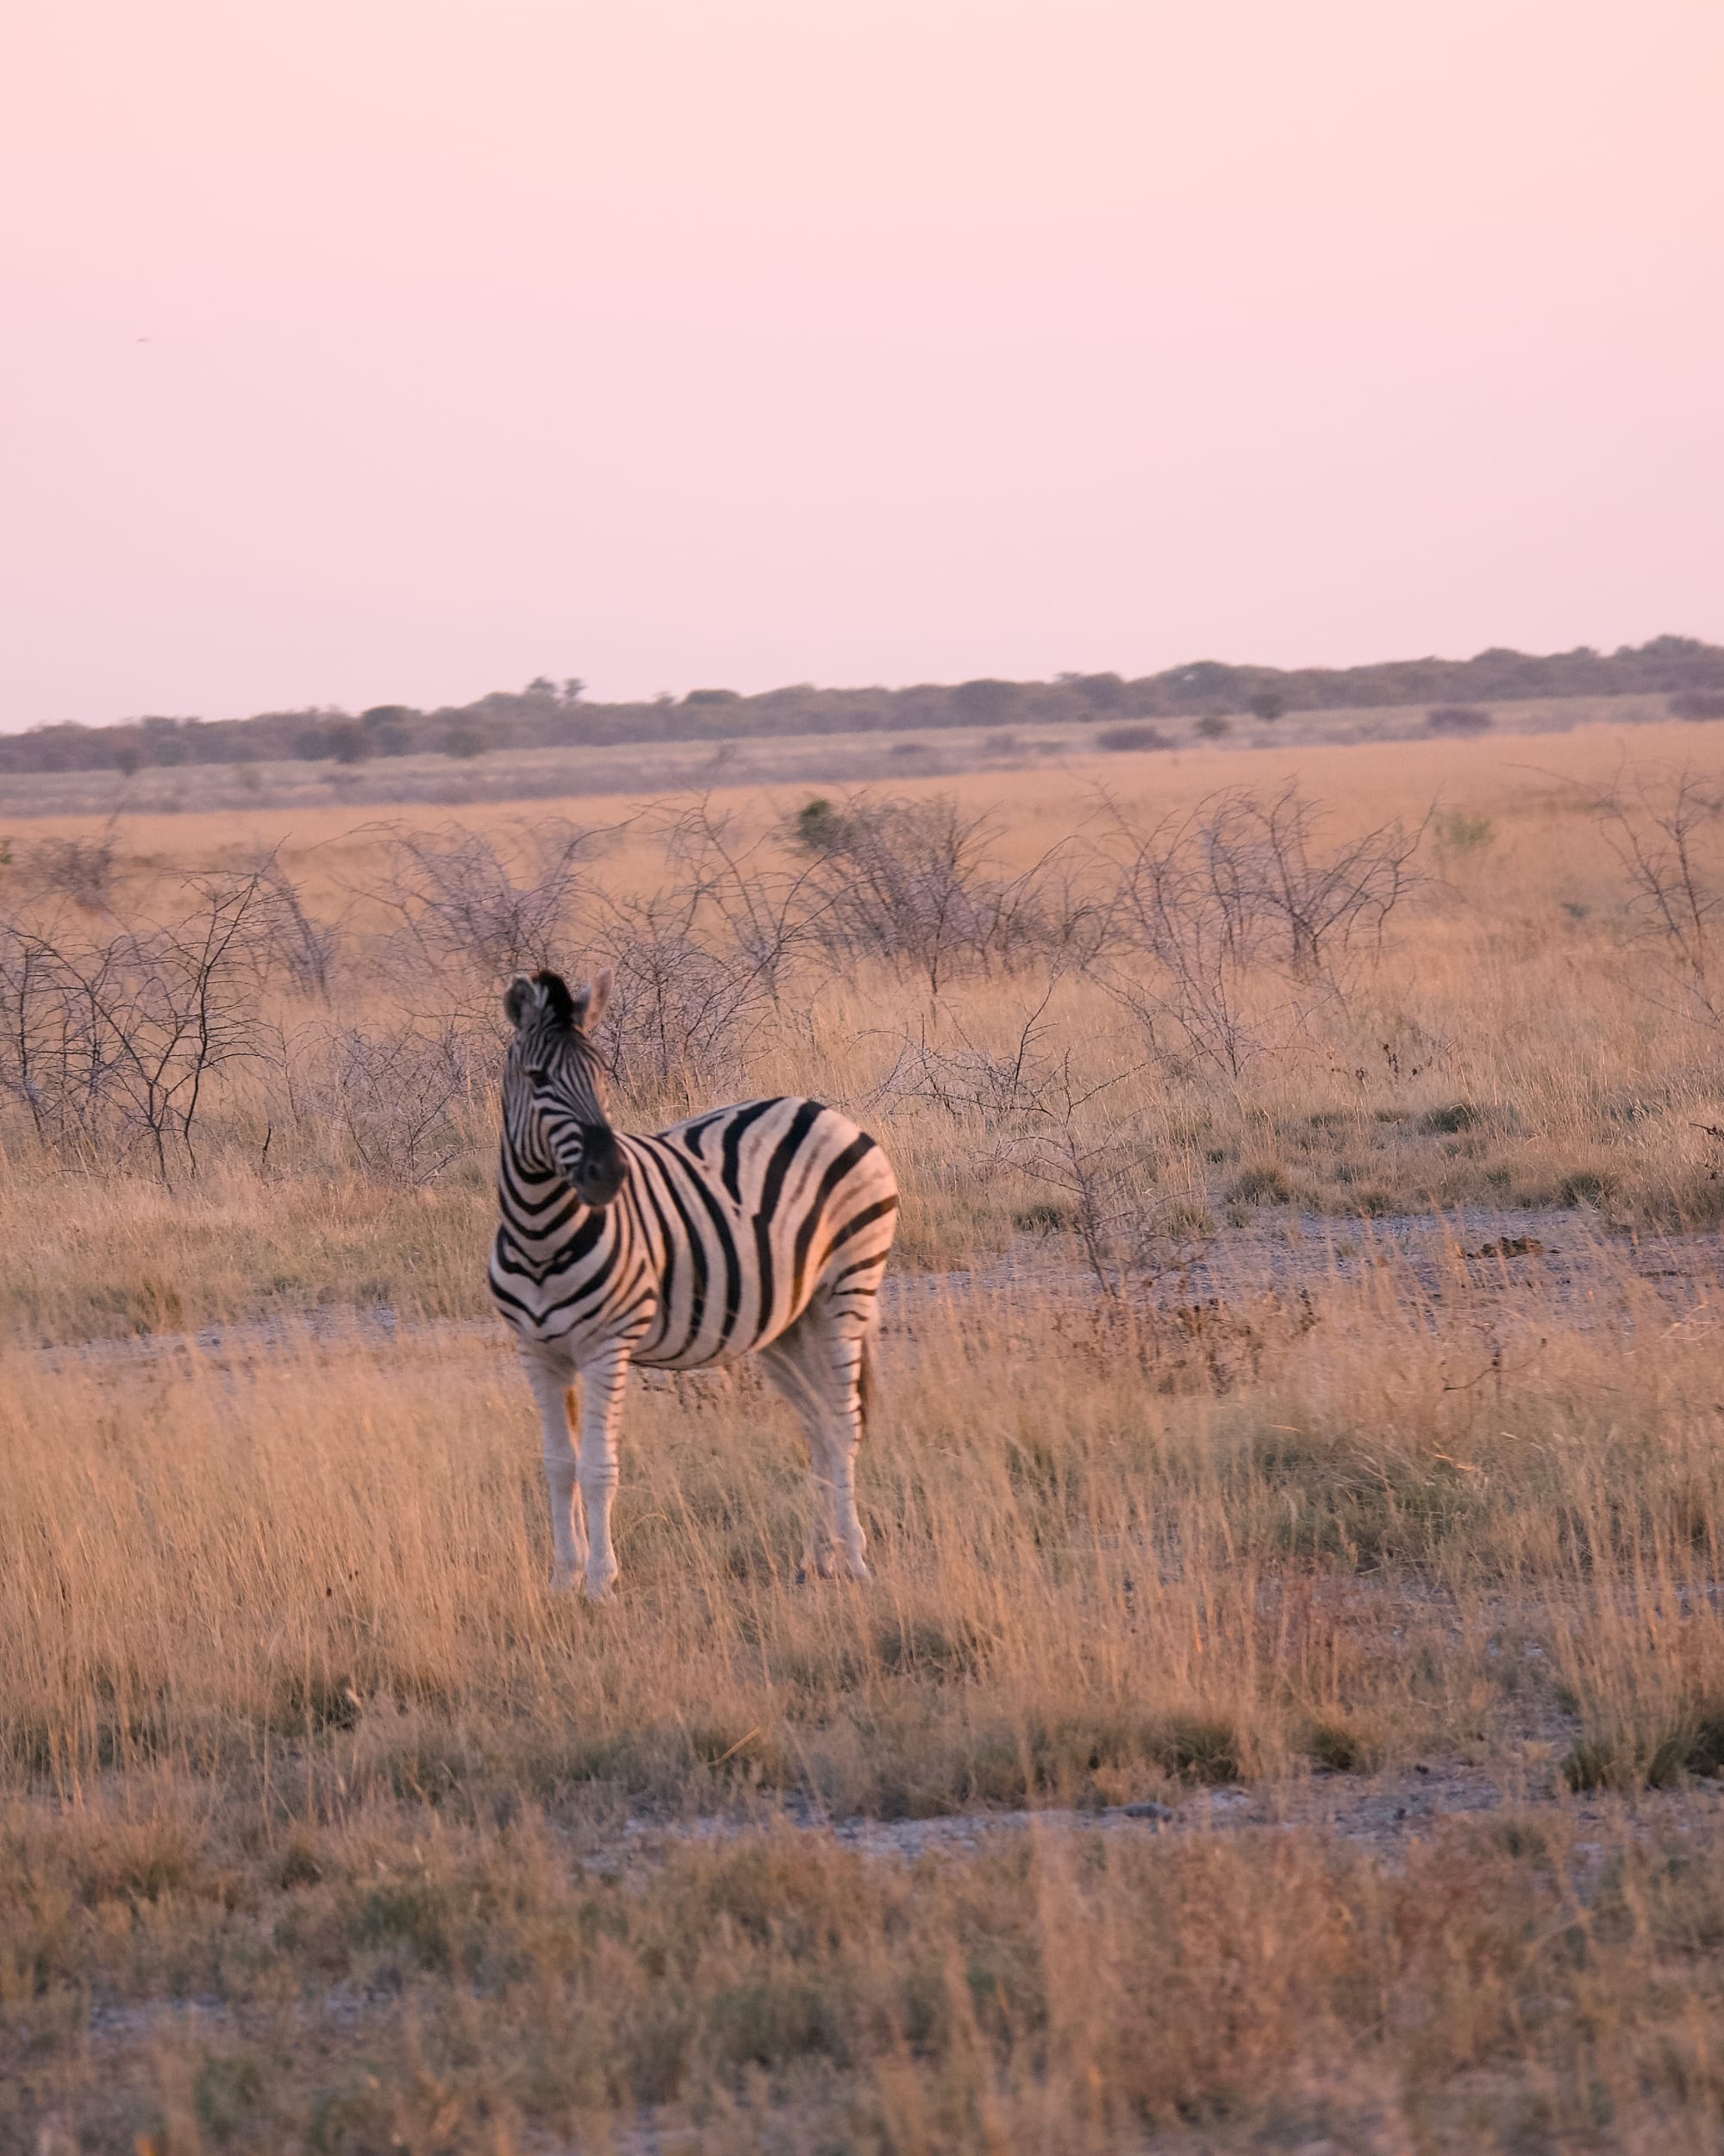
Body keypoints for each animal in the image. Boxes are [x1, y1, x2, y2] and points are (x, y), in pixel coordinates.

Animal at [490, 967, 900, 1599]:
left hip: (845, 1290)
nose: (609, 1175)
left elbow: (597, 1467)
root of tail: (825, 1112)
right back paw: (818, 1560)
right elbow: (558, 1466)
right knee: (816, 1426)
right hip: (786, 1321)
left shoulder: (607, 1346)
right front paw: (563, 1580)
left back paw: (853, 1559)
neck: (540, 1233)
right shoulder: (537, 1352)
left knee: (842, 1422)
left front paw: (600, 1584)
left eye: (601, 1075)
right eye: (538, 1078)